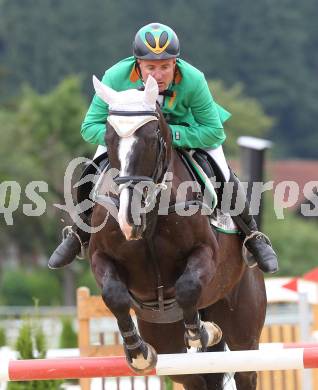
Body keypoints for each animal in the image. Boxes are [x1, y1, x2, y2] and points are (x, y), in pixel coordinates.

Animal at [87, 74, 266, 388]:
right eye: (108, 139)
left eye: (151, 138)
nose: (129, 219)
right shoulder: (101, 257)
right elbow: (113, 295)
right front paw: (138, 353)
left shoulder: (205, 253)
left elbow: (187, 287)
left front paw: (203, 332)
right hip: (168, 344)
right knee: (194, 376)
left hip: (244, 333)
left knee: (244, 368)